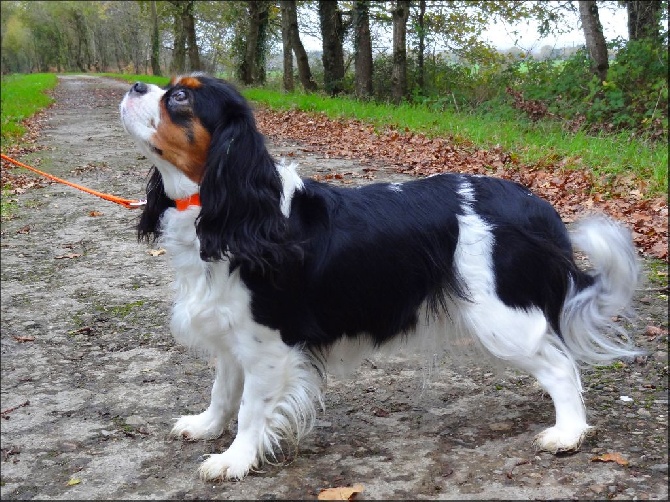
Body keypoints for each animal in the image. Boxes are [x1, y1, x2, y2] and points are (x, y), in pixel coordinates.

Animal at [118, 72, 644, 480]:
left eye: (180, 98)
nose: (135, 84)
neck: (227, 209)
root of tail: (539, 205)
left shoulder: (269, 343)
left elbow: (251, 408)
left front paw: (234, 459)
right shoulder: (231, 330)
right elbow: (224, 389)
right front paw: (207, 426)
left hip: (503, 320)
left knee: (561, 366)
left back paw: (568, 433)